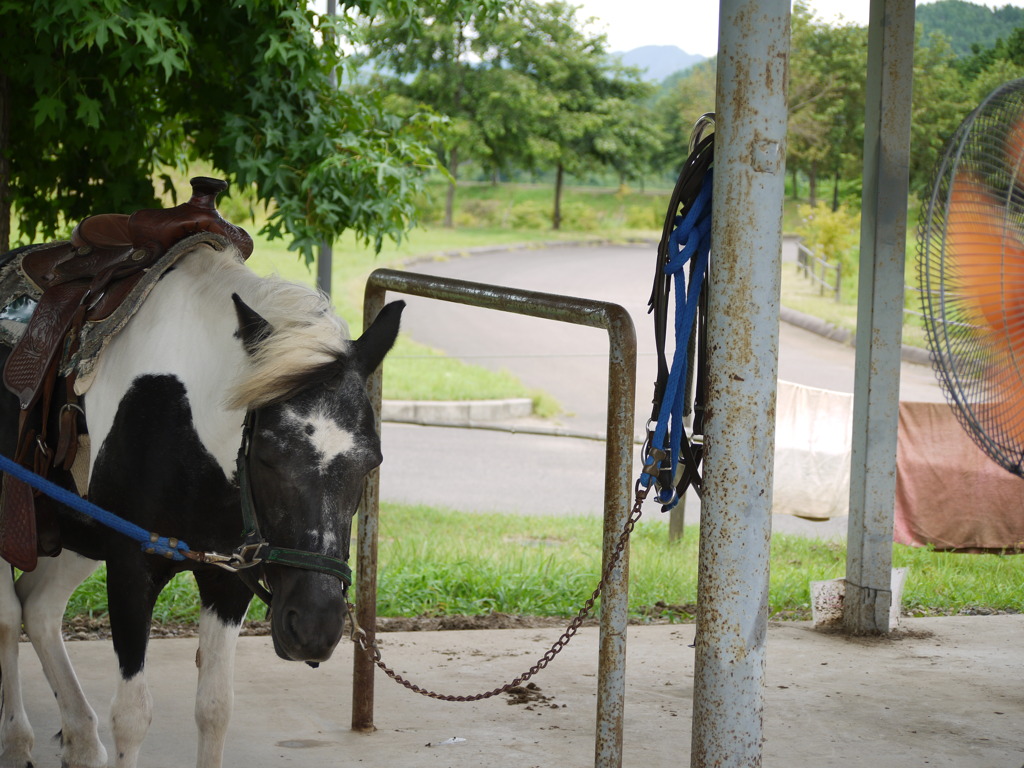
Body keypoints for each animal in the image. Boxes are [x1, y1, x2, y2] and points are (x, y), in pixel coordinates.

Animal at [0, 236, 403, 768]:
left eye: (371, 461)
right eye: (269, 452)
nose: (315, 627)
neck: (184, 420)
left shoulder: (228, 576)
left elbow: (215, 708)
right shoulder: (130, 565)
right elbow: (132, 714)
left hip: (76, 535)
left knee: (39, 608)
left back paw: (81, 740)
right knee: (9, 616)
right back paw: (16, 741)